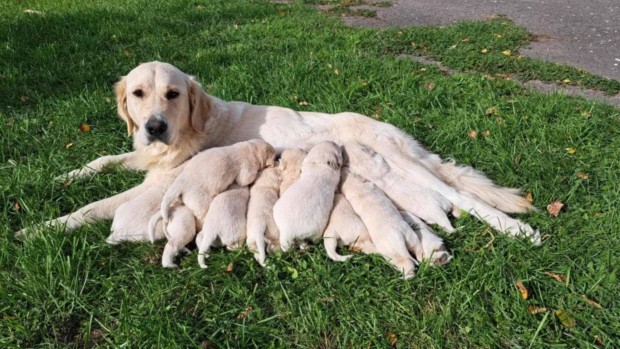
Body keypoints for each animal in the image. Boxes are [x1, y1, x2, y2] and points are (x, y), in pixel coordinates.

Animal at [17, 60, 540, 245]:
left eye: (173, 94)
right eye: (138, 94)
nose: (154, 126)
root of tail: (393, 129)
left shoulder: (162, 180)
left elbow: (91, 209)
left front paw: (39, 227)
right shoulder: (147, 157)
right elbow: (100, 162)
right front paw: (62, 176)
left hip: (403, 165)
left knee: (463, 198)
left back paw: (519, 229)